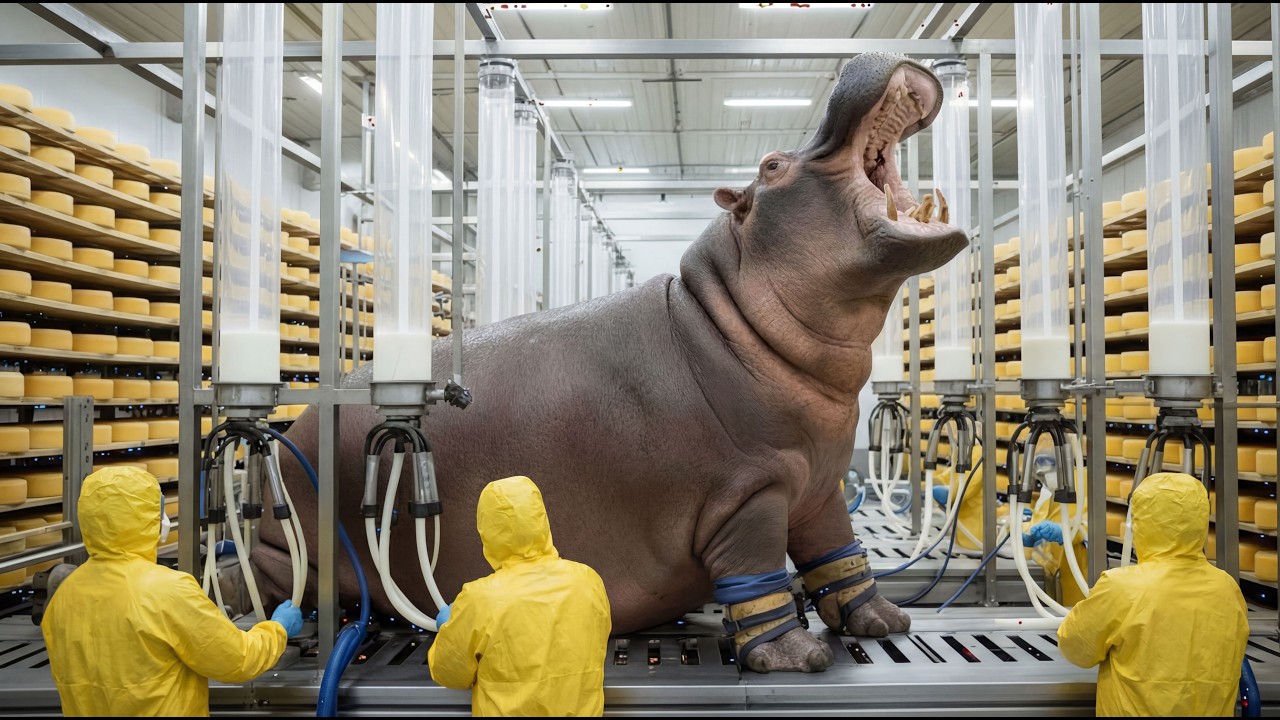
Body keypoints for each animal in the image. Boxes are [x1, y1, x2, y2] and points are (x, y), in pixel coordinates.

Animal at [251, 52, 968, 673]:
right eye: (770, 165)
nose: (857, 61)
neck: (731, 324)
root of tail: (296, 432)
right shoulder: (750, 496)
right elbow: (759, 573)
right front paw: (796, 656)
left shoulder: (817, 488)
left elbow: (840, 558)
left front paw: (882, 621)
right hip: (296, 542)